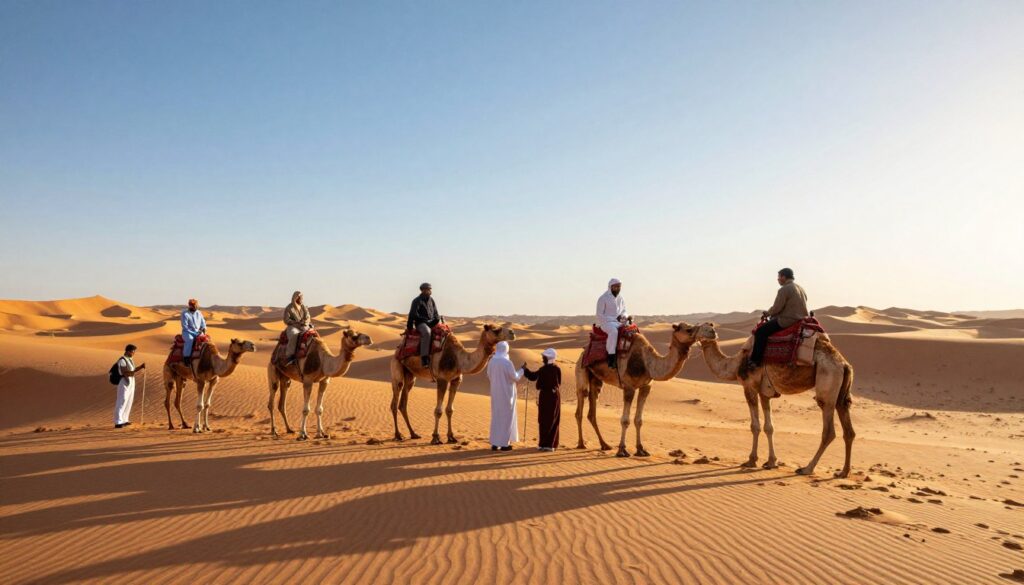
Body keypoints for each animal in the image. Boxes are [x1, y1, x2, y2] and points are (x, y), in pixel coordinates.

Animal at [575, 323, 699, 457]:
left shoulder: (646, 387)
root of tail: (583, 351)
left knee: (592, 411)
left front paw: (640, 449)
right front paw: (622, 450)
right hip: (581, 370)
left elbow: (639, 420)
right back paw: (581, 444)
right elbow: (625, 421)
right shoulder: (629, 387)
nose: (702, 331)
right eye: (688, 329)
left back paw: (604, 445)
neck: (647, 363)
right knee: (580, 405)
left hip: (596, 379)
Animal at [695, 322, 855, 478]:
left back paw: (807, 469)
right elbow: (769, 427)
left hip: (827, 381)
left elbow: (755, 426)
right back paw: (843, 472)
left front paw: (751, 460)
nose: (711, 332)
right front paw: (771, 462)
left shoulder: (749, 386)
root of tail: (844, 364)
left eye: (699, 327)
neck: (735, 364)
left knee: (828, 430)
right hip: (840, 393)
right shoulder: (764, 392)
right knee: (848, 429)